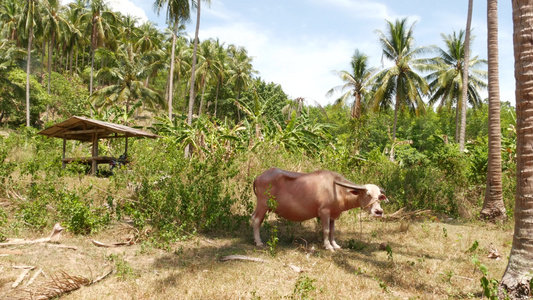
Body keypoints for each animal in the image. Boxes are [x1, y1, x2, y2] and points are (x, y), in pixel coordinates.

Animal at [251, 169, 384, 251]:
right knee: (256, 220)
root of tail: (259, 177)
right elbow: (326, 230)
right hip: (263, 205)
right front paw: (328, 246)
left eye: (379, 196)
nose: (378, 212)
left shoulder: (333, 215)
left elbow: (332, 231)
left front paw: (335, 245)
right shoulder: (324, 212)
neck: (338, 190)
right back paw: (259, 242)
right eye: (367, 194)